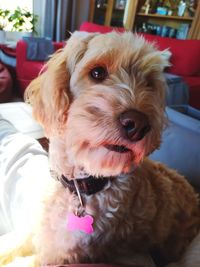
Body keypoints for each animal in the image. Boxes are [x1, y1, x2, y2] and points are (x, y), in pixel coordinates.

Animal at [0, 31, 200, 267]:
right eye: (97, 72)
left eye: (149, 84)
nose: (138, 124)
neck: (81, 186)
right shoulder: (38, 227)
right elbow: (13, 242)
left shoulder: (59, 254)